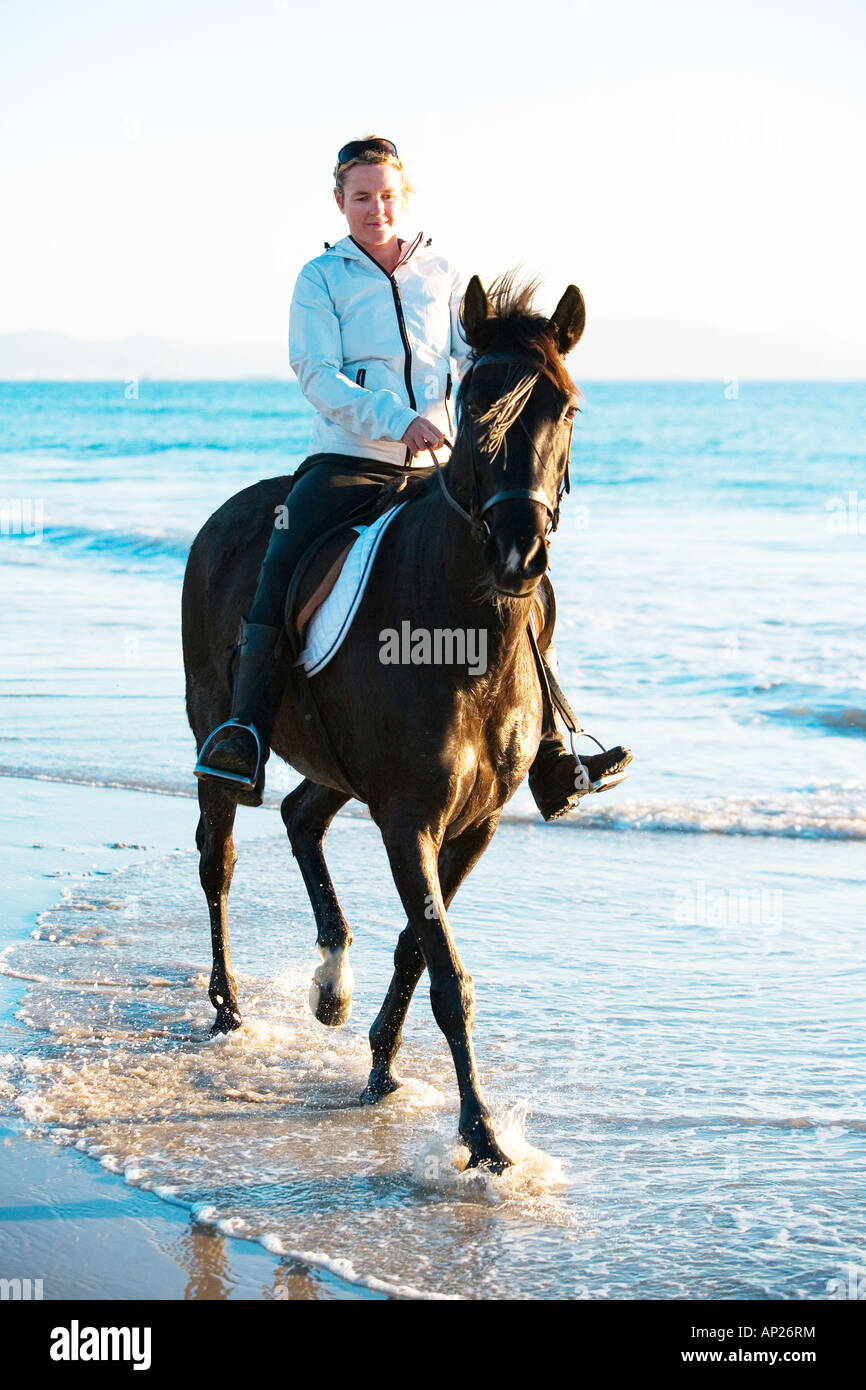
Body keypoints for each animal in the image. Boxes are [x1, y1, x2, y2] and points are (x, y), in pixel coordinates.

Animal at [181, 273, 586, 1172]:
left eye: (567, 407)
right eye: (473, 402)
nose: (519, 552)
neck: (461, 626)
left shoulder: (470, 824)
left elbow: (417, 945)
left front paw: (379, 1068)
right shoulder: (409, 817)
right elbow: (447, 975)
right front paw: (482, 1138)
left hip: (336, 764)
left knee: (302, 816)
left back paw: (331, 983)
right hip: (214, 729)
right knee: (218, 859)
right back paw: (227, 1007)